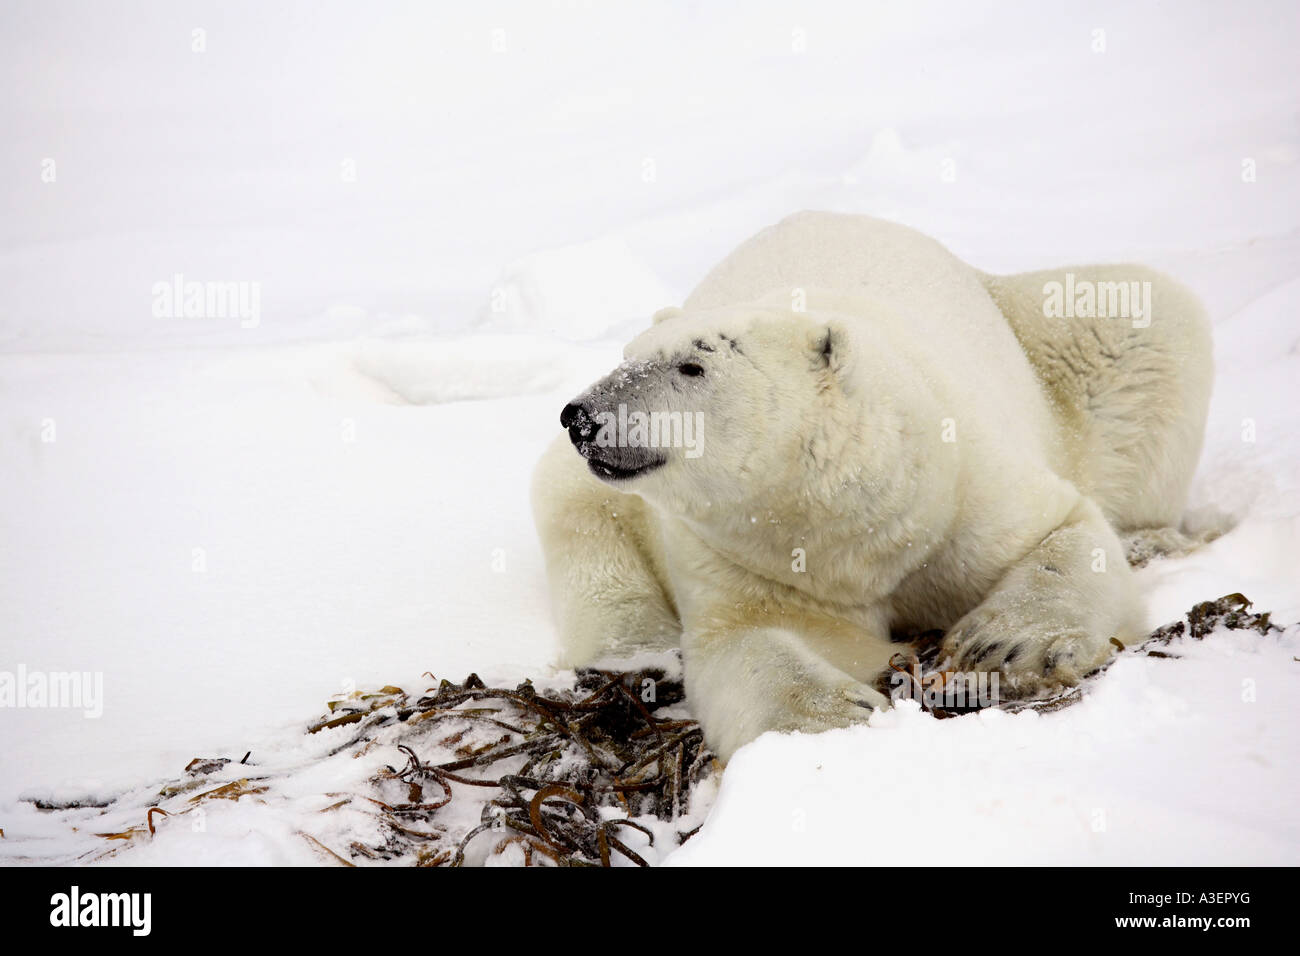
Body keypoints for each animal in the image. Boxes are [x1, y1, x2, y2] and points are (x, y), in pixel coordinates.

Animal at [530, 210, 1216, 764]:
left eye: (692, 365)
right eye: (626, 355)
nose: (581, 417)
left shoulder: (961, 485)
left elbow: (1063, 527)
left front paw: (1006, 643)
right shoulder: (740, 553)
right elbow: (745, 638)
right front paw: (840, 712)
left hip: (1049, 340)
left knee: (1143, 314)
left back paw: (1154, 540)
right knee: (572, 507)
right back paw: (634, 653)